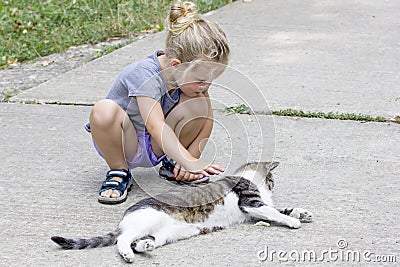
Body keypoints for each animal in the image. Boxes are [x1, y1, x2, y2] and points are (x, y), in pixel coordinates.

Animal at [50, 162, 312, 262]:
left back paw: (145, 246)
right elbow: (275, 212)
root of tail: (125, 217)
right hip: (148, 218)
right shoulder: (251, 203)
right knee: (123, 239)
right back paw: (127, 254)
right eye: (272, 178)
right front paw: (292, 221)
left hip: (170, 234)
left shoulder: (255, 210)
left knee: (141, 241)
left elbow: (280, 209)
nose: (273, 185)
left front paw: (301, 213)